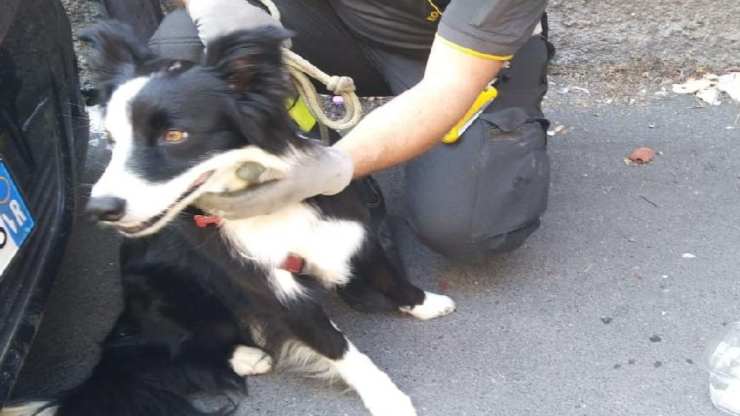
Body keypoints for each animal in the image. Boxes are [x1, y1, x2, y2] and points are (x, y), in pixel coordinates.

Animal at [1, 22, 456, 416]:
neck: (270, 204)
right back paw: (247, 356)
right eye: (113, 140)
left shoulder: (345, 229)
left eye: (175, 135)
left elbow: (385, 272)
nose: (100, 209)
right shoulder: (270, 288)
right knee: (179, 348)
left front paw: (424, 303)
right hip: (172, 290)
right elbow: (337, 347)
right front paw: (387, 398)